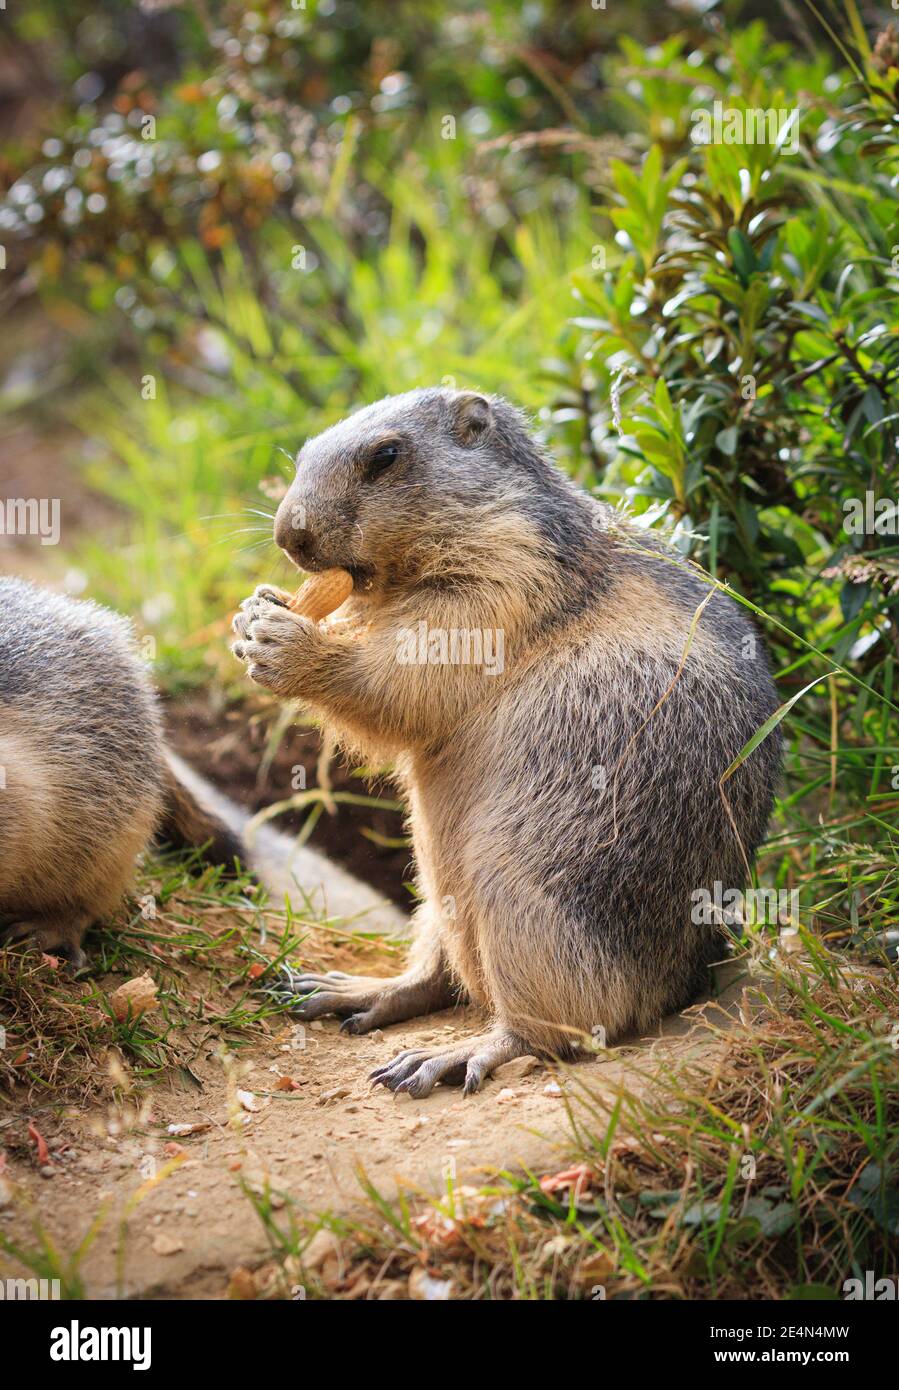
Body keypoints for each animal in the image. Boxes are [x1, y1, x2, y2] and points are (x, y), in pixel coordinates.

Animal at [231, 388, 782, 1097]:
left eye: (386, 456)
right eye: (300, 455)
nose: (288, 537)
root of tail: (687, 979)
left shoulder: (505, 576)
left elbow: (416, 664)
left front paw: (288, 640)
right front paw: (257, 607)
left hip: (524, 890)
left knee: (563, 1024)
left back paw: (455, 1053)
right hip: (436, 889)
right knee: (439, 974)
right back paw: (350, 989)